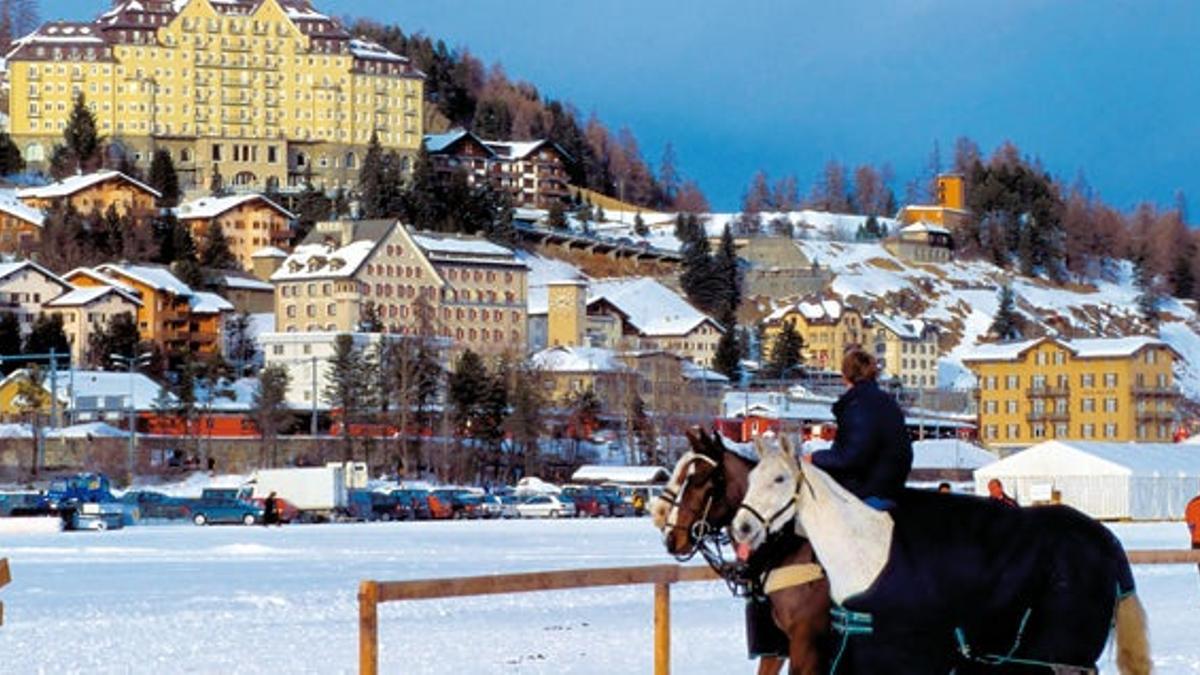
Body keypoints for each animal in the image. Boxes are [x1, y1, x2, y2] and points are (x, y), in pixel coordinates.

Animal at [729, 437, 1152, 672]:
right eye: (750, 479)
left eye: (779, 479)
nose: (743, 528)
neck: (866, 549)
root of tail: (1106, 541)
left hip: (1062, 655)